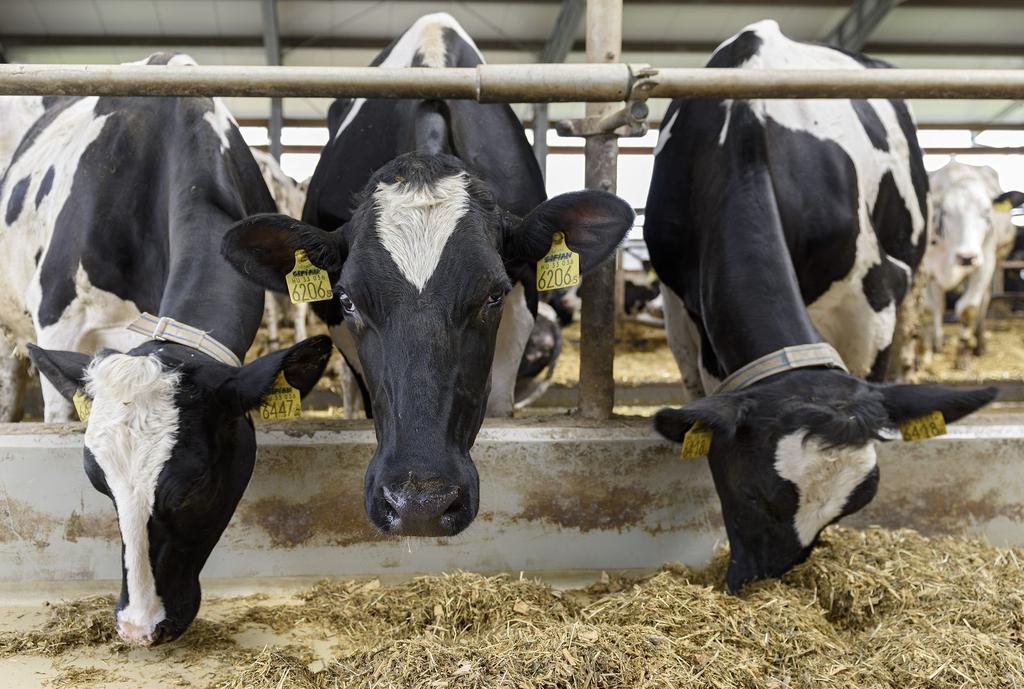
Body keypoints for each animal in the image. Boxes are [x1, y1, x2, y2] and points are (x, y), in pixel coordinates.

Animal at [643, 21, 995, 589]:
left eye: (849, 508)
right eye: (752, 492)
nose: (760, 578)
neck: (743, 135)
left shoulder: (872, 294)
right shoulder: (688, 305)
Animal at [925, 161, 1019, 368]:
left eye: (986, 212)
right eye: (945, 212)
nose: (966, 257)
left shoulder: (984, 265)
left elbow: (968, 308)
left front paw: (962, 356)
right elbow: (932, 307)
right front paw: (927, 351)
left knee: (984, 300)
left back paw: (979, 343)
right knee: (940, 303)